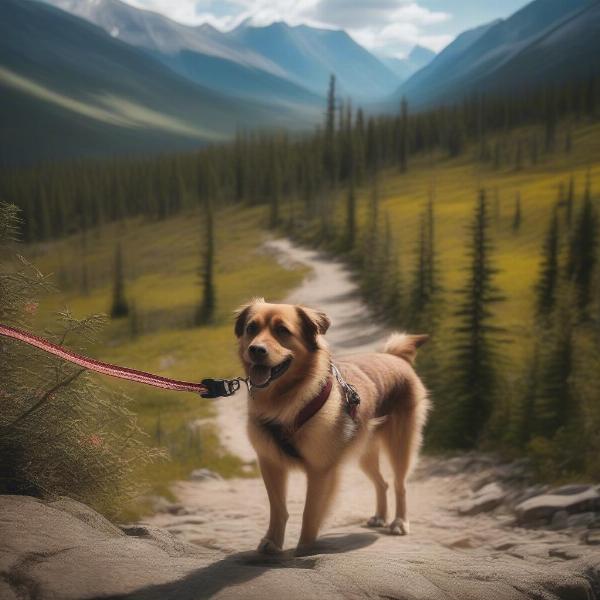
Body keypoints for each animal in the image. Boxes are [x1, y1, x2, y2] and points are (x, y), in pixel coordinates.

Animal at [236, 298, 432, 556]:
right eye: (251, 328)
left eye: (282, 330)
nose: (256, 350)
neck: (286, 400)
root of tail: (394, 357)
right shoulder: (270, 462)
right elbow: (278, 508)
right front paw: (272, 542)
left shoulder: (320, 470)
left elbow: (311, 512)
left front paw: (305, 548)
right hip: (364, 452)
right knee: (383, 482)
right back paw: (380, 516)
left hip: (400, 445)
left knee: (400, 484)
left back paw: (399, 522)